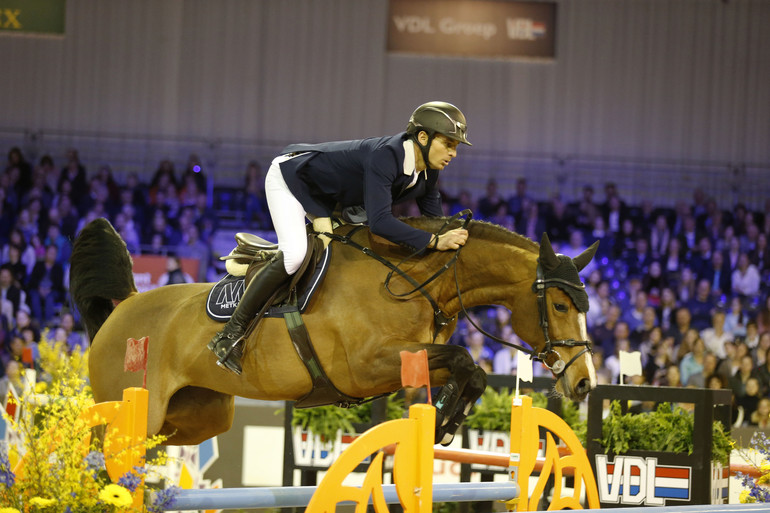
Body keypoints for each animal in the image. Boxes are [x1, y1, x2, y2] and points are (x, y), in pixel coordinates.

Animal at [69, 214, 596, 446]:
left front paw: (448, 419)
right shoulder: (365, 367)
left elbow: (471, 371)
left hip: (198, 416)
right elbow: (466, 360)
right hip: (131, 409)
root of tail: (124, 307)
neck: (409, 277)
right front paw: (446, 422)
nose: (584, 382)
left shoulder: (412, 359)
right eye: (560, 304)